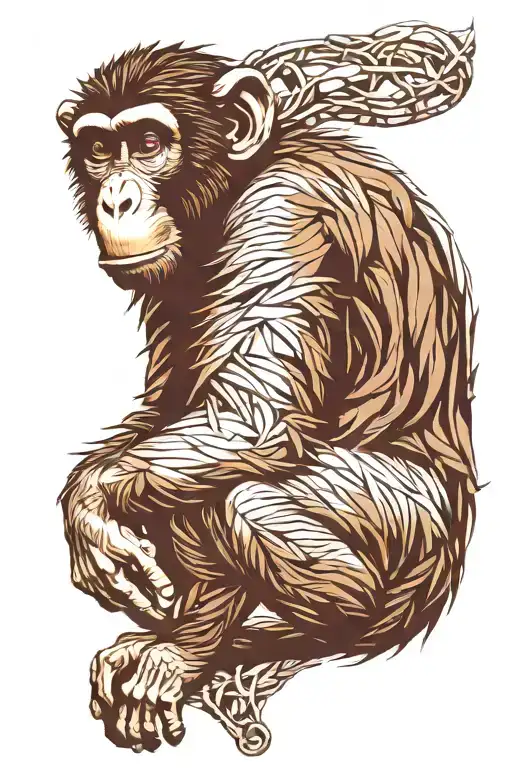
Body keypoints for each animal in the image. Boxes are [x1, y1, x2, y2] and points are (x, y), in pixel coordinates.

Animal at [56, 28, 477, 755]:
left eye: (148, 142)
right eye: (99, 150)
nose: (116, 198)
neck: (237, 180)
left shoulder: (281, 215)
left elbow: (251, 419)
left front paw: (91, 508)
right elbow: (170, 407)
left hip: (410, 524)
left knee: (240, 496)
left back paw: (239, 642)